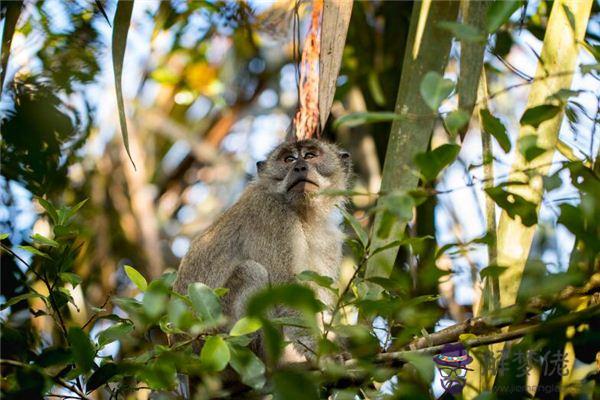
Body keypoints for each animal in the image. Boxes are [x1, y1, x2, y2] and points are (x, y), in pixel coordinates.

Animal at [173, 140, 350, 356]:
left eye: (310, 155)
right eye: (289, 159)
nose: (300, 167)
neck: (303, 213)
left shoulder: (328, 239)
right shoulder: (273, 214)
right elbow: (287, 287)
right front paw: (316, 351)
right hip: (214, 334)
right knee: (251, 271)